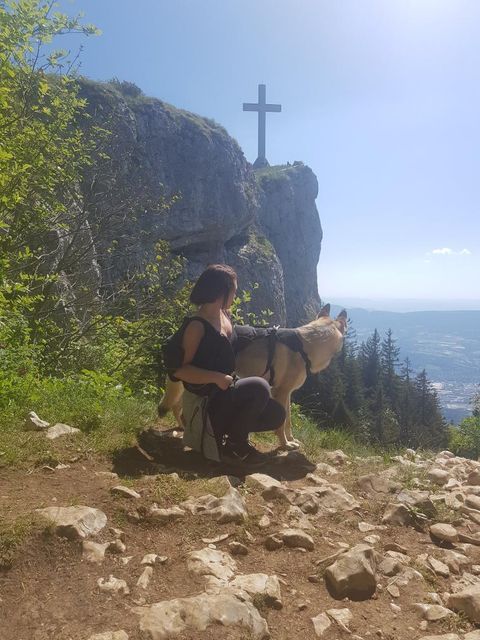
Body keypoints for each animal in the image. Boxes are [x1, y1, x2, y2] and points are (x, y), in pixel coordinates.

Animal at [159, 304, 346, 450]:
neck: (305, 345)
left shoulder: (287, 393)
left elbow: (289, 421)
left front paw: (291, 439)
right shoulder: (281, 393)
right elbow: (282, 422)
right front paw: (285, 444)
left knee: (177, 406)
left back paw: (183, 427)